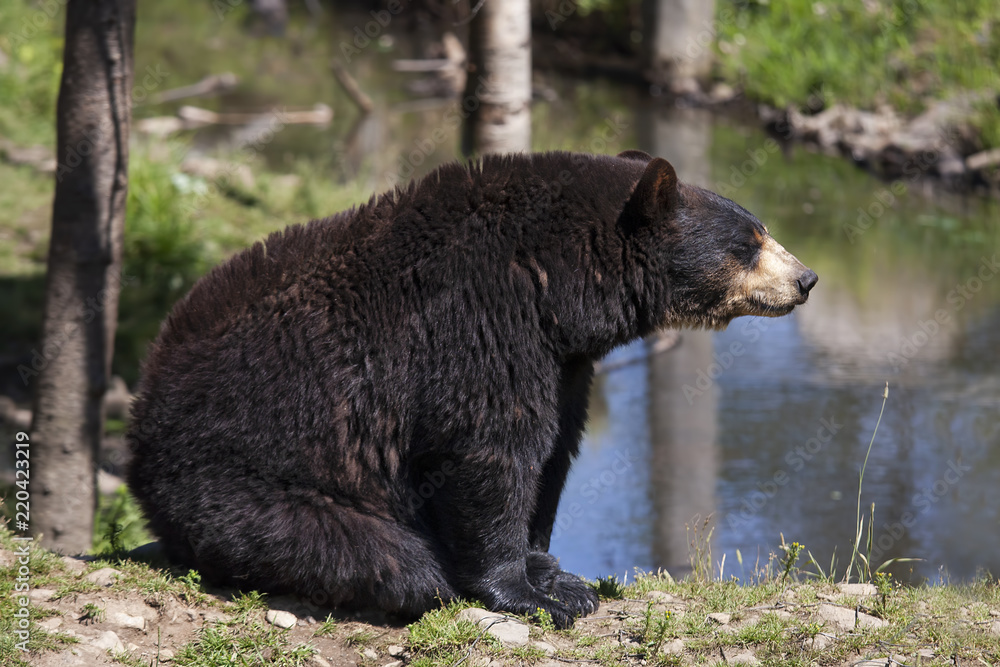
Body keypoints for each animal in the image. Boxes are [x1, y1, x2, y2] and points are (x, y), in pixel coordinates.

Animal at [126, 150, 817, 628]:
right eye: (749, 243)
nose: (807, 278)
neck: (557, 282)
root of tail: (140, 420)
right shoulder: (479, 322)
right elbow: (491, 448)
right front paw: (530, 592)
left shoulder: (563, 361)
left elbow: (554, 451)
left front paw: (550, 570)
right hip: (241, 483)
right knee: (379, 555)